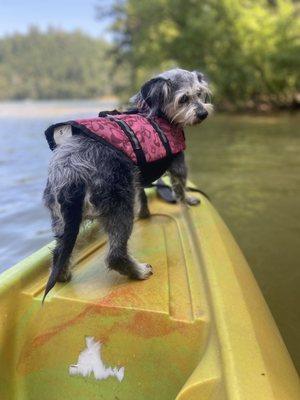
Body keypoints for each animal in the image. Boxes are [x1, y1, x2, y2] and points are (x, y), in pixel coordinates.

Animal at [42, 69, 212, 300]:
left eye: (200, 93)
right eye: (184, 99)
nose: (203, 113)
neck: (153, 112)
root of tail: (71, 172)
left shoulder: (136, 177)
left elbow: (142, 195)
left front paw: (145, 213)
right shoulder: (178, 164)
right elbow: (181, 187)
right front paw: (189, 199)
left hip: (62, 221)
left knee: (59, 251)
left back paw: (62, 274)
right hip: (119, 208)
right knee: (115, 255)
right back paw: (139, 271)